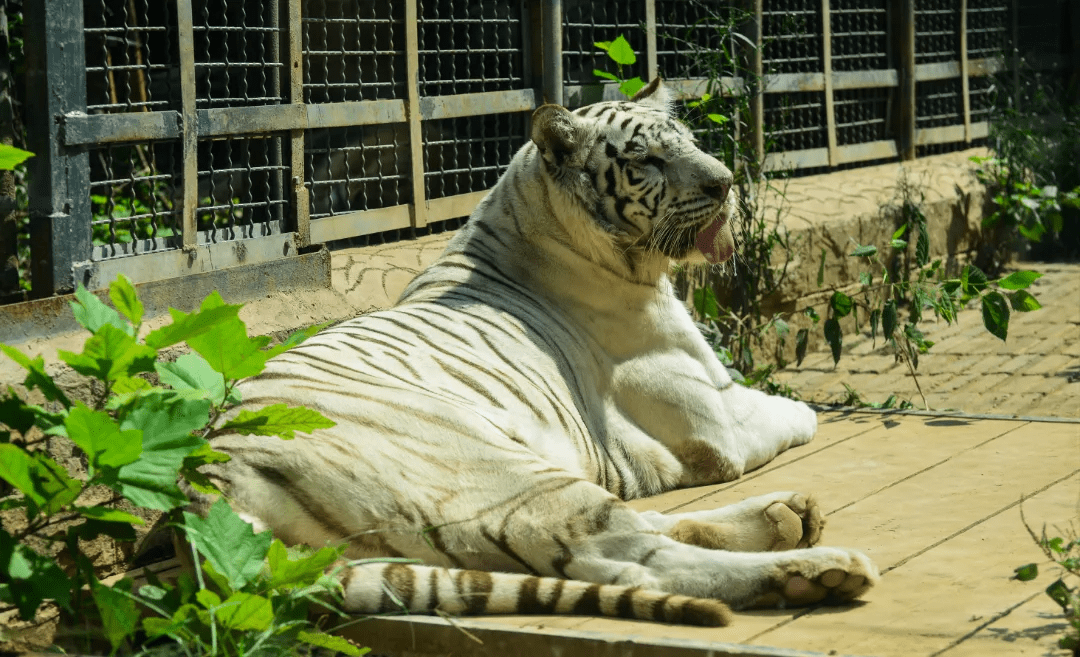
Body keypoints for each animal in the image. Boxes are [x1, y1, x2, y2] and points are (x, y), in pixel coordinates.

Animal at [187, 78, 876, 626]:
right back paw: (817, 568)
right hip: (498, 475)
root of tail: (213, 475)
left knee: (643, 528)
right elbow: (794, 411)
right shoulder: (717, 422)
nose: (725, 182)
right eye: (648, 159)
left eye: (687, 141)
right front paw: (807, 414)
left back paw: (786, 515)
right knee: (632, 558)